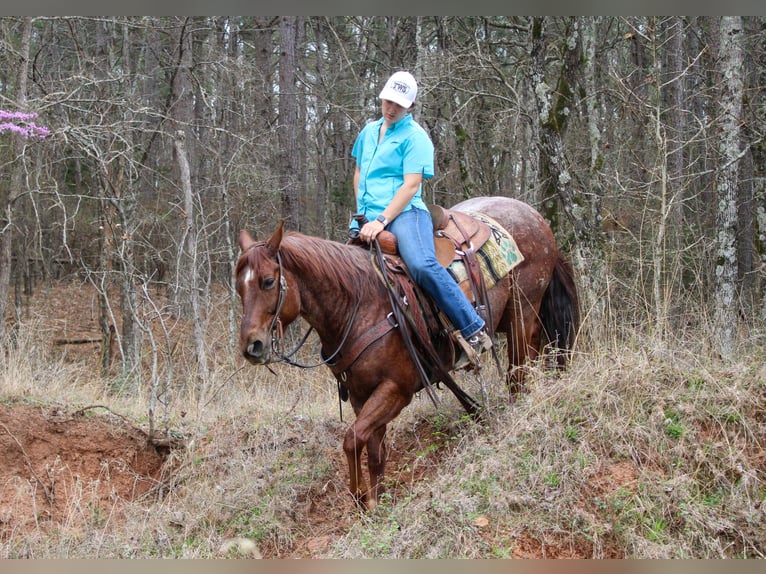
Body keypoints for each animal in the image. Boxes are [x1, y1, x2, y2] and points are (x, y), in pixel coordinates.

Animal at [235, 196, 580, 510]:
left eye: (268, 281)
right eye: (239, 288)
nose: (252, 346)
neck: (360, 304)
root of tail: (533, 214)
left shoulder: (396, 389)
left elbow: (352, 439)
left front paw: (359, 498)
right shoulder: (361, 396)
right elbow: (372, 448)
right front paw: (374, 503)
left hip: (524, 310)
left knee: (518, 373)